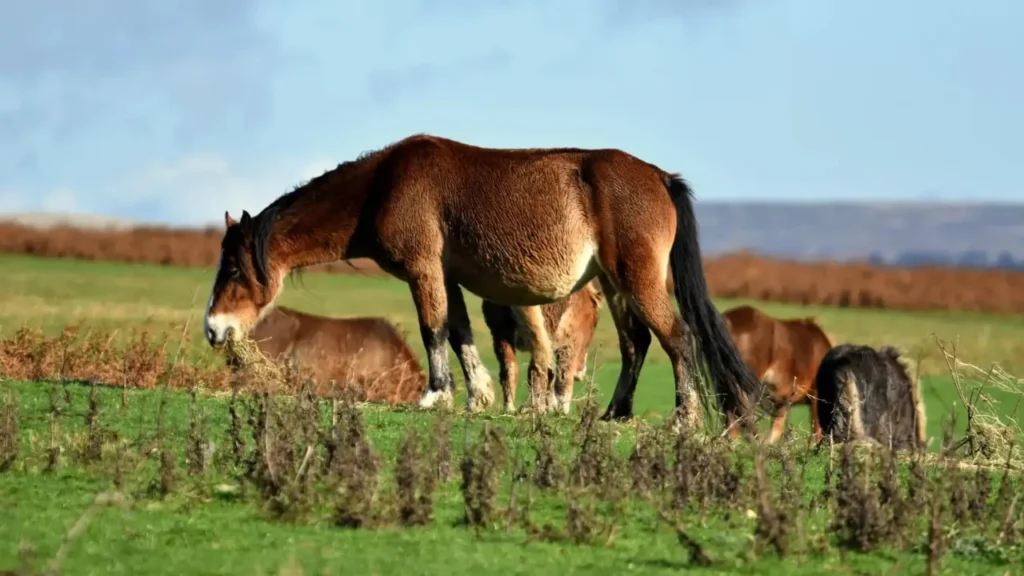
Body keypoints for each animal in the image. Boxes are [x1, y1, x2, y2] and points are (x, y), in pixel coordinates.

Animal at [482, 278, 604, 414]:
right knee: (536, 370)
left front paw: (551, 407)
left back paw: (510, 408)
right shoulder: (571, 342)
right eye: (595, 322)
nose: (580, 374)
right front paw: (561, 411)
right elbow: (563, 376)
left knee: (510, 368)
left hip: (501, 332)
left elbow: (551, 375)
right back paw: (536, 409)